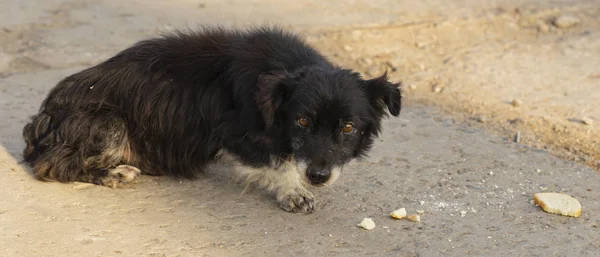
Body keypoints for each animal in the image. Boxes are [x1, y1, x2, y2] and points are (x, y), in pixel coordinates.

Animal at [21, 26, 400, 212]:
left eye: (348, 127)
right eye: (302, 122)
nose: (318, 177)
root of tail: (43, 119)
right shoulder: (233, 133)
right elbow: (277, 161)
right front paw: (293, 191)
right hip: (107, 122)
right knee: (53, 165)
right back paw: (115, 173)